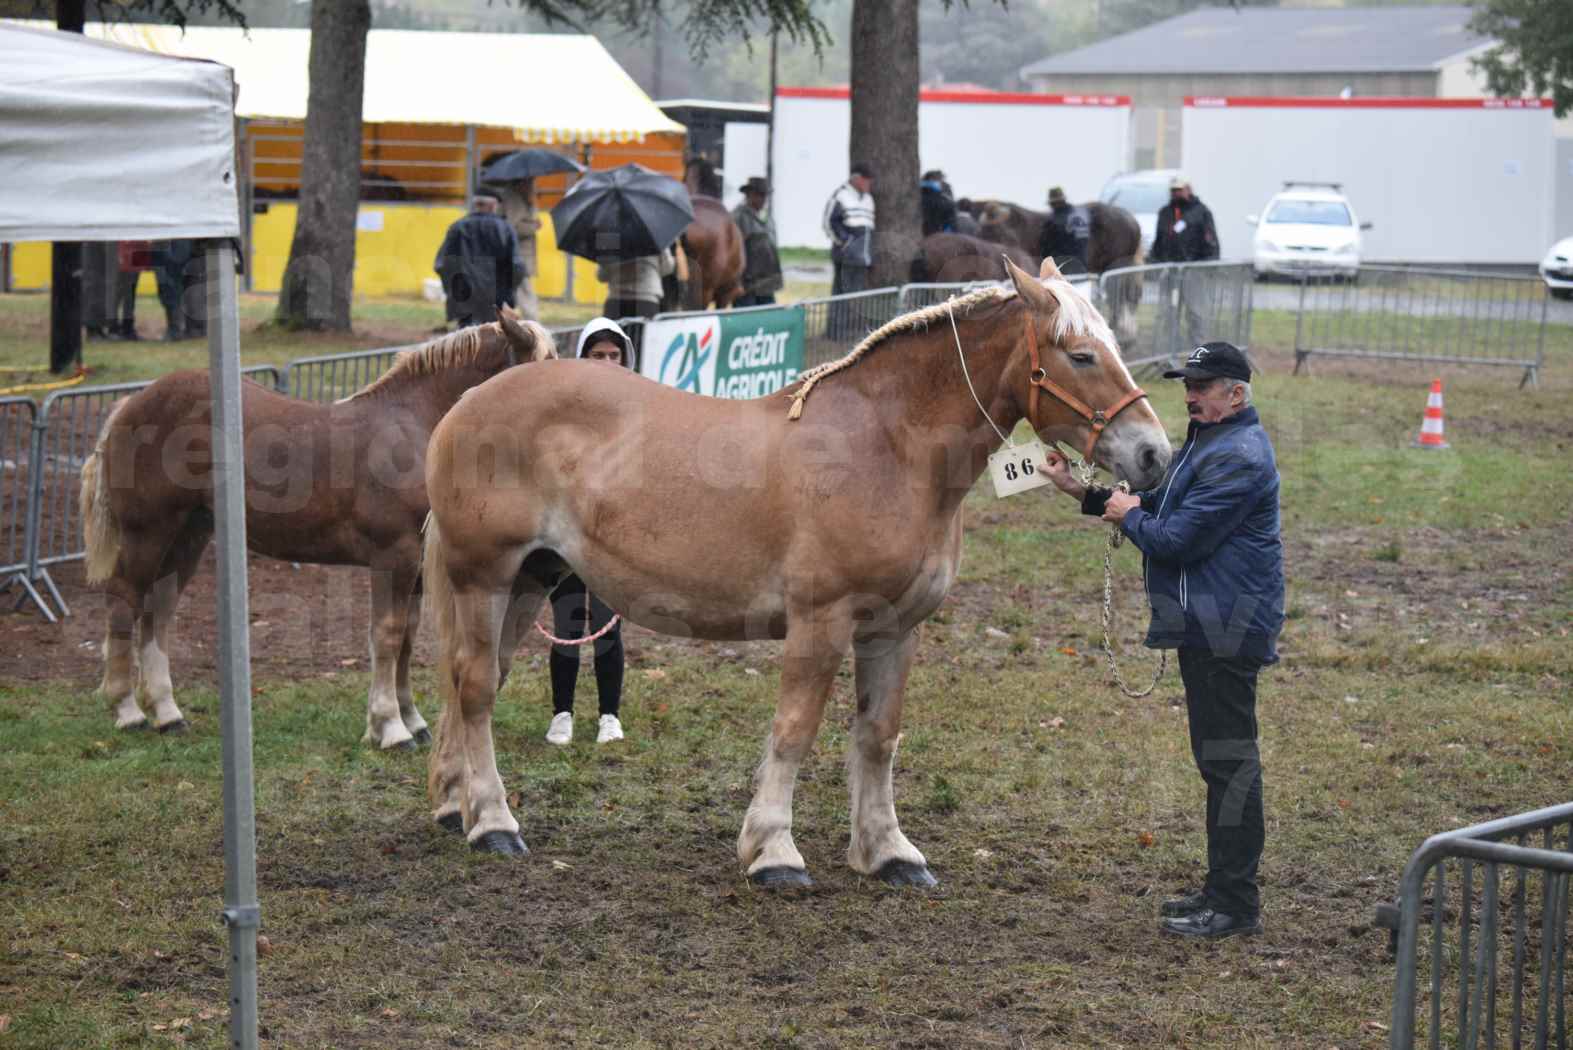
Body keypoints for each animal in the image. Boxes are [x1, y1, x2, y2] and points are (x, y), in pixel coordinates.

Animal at [81, 314, 559, 745]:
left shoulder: (416, 571)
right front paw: (389, 728)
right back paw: (127, 710)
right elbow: (386, 636)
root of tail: (128, 405)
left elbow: (406, 639)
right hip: (148, 532)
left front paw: (411, 720)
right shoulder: (394, 558)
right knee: (124, 599)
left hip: (189, 535)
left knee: (158, 610)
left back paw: (167, 713)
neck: (418, 429)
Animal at [418, 256, 1170, 886]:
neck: (886, 448)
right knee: (475, 687)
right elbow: (794, 731)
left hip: (529, 582)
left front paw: (888, 852)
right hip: (484, 577)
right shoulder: (820, 622)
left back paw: (457, 807)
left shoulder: (894, 630)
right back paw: (493, 823)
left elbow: (878, 736)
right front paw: (773, 851)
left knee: (472, 683)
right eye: (1080, 354)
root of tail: (471, 401)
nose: (1154, 454)